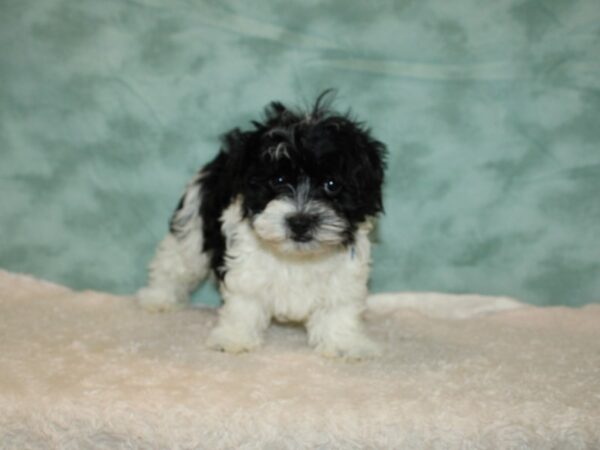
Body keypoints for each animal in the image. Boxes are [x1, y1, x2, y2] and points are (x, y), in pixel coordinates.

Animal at [138, 90, 386, 358]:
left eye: (332, 184)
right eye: (277, 180)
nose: (300, 222)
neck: (297, 257)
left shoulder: (344, 277)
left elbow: (339, 309)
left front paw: (343, 344)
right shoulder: (245, 266)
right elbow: (244, 303)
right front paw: (234, 338)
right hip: (192, 225)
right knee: (175, 263)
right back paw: (157, 298)